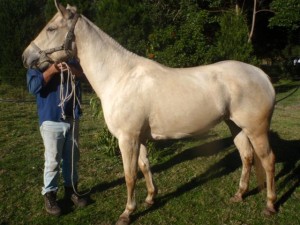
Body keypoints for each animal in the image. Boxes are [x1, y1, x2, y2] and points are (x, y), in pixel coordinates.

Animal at [22, 0, 276, 224]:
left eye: (51, 28)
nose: (26, 56)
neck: (120, 77)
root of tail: (262, 75)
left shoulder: (127, 139)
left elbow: (130, 175)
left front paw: (126, 213)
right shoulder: (139, 138)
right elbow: (145, 167)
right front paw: (150, 199)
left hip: (256, 129)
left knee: (267, 160)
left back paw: (270, 205)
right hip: (236, 126)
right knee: (247, 157)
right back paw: (239, 195)